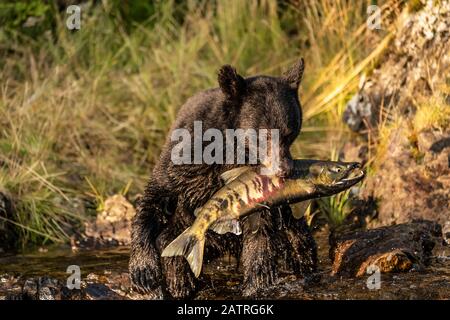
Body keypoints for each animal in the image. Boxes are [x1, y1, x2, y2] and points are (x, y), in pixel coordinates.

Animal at [130, 60, 318, 298]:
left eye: (290, 133)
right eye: (264, 135)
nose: (284, 171)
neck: (231, 150)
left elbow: (259, 234)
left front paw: (256, 284)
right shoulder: (183, 162)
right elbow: (153, 201)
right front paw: (143, 272)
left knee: (300, 243)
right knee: (170, 242)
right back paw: (179, 283)